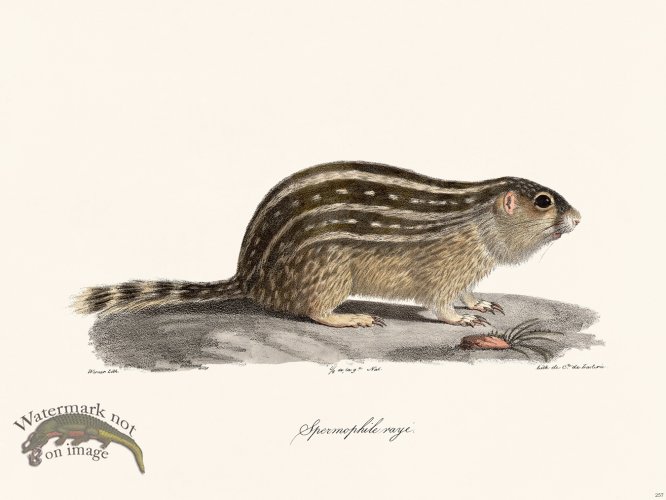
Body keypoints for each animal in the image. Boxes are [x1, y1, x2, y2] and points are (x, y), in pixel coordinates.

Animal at [73, 161, 581, 328]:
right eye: (544, 202)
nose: (578, 219)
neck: (479, 215)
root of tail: (248, 278)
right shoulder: (446, 265)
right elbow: (439, 302)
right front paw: (460, 318)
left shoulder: (467, 268)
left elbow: (468, 291)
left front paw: (480, 304)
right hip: (330, 272)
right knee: (314, 311)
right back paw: (350, 318)